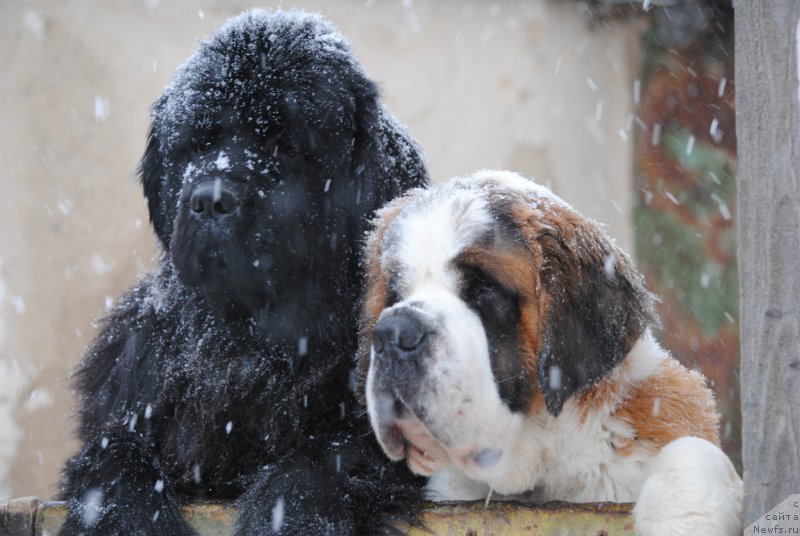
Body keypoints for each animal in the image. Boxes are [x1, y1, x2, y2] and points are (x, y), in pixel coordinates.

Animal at [58, 9, 432, 536]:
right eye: (197, 143)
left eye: (287, 146)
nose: (211, 199)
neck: (246, 348)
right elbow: (113, 460)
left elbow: (326, 459)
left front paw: (287, 517)